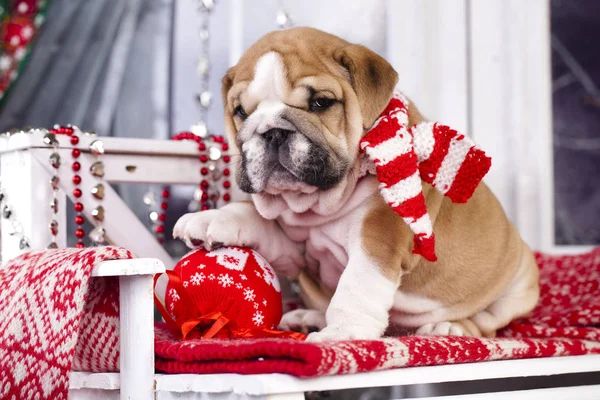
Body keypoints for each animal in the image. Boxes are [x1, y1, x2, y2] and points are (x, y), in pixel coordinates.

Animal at [172, 27, 540, 340]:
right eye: (241, 112)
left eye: (320, 102)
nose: (272, 131)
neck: (315, 207)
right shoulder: (293, 247)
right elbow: (250, 214)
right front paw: (209, 219)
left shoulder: (380, 233)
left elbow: (356, 286)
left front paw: (341, 334)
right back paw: (308, 318)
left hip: (517, 282)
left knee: (487, 323)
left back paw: (449, 328)